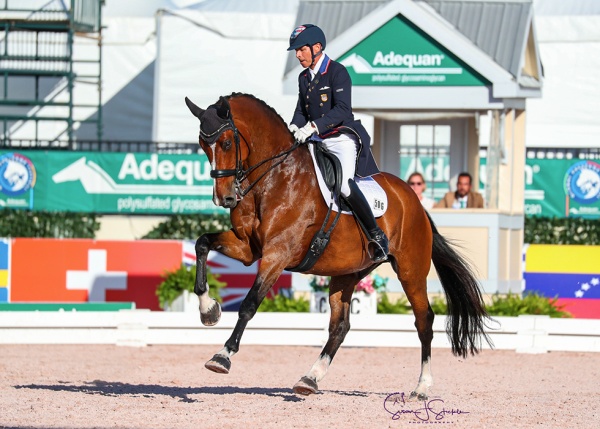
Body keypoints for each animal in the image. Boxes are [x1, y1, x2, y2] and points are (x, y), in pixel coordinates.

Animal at [184, 93, 492, 398]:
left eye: (226, 143)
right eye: (203, 145)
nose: (224, 198)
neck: (275, 178)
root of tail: (414, 201)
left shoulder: (277, 254)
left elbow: (249, 303)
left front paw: (222, 356)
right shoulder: (247, 248)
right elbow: (202, 244)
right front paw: (208, 310)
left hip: (410, 270)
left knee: (424, 320)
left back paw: (422, 386)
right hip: (348, 272)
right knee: (340, 326)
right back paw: (310, 378)